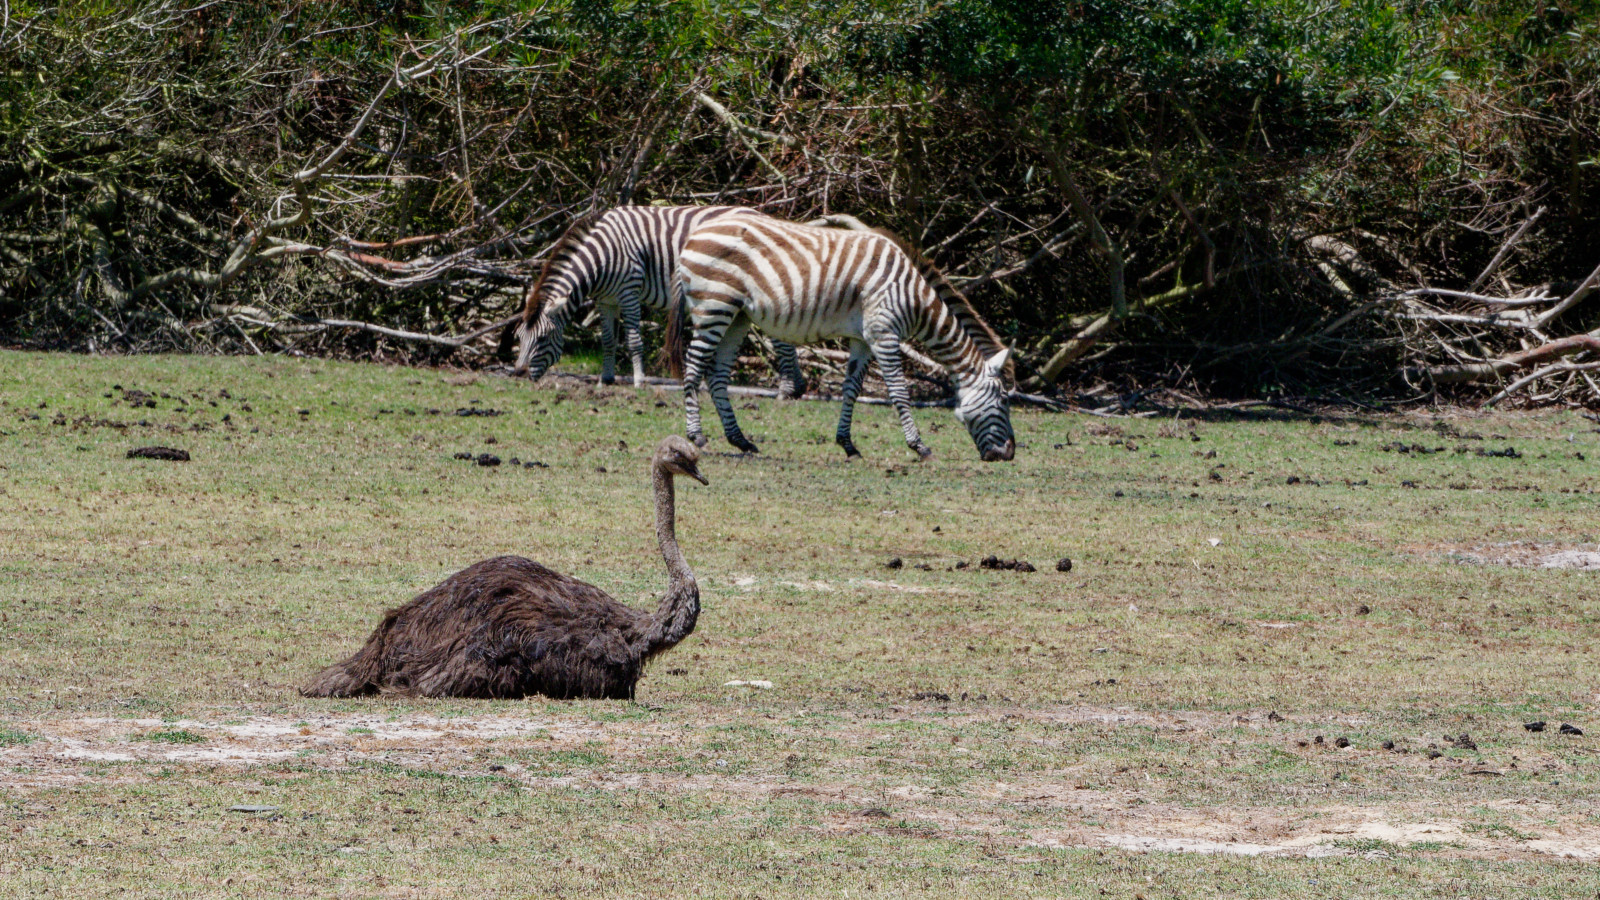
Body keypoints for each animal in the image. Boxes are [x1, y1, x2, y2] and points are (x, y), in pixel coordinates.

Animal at [512, 206, 807, 397]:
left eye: (542, 339)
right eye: (518, 337)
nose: (518, 373)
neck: (601, 259)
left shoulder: (629, 291)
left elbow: (633, 340)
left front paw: (639, 381)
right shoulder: (606, 301)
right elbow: (608, 339)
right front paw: (605, 379)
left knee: (780, 337)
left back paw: (785, 390)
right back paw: (798, 386)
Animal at [668, 215, 1015, 462]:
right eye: (1002, 401)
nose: (1009, 454)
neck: (913, 296)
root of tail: (695, 233)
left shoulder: (863, 339)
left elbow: (851, 389)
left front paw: (847, 444)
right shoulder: (884, 335)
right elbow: (898, 392)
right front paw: (919, 446)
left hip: (737, 316)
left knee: (717, 375)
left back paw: (741, 440)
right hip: (714, 306)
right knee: (693, 368)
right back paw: (696, 436)